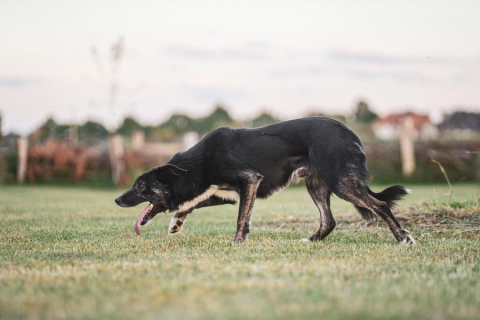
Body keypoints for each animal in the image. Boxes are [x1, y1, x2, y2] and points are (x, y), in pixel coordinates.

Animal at [116, 116, 416, 244]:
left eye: (140, 187)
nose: (117, 199)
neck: (198, 163)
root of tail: (350, 133)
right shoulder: (225, 192)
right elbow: (192, 204)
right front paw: (176, 223)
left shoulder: (249, 181)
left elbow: (240, 218)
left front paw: (237, 242)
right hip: (316, 184)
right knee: (329, 220)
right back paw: (312, 240)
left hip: (339, 182)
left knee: (379, 205)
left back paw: (403, 238)